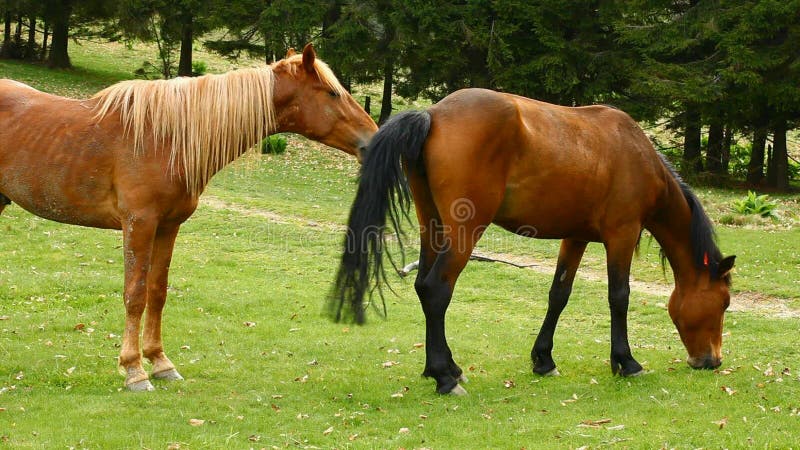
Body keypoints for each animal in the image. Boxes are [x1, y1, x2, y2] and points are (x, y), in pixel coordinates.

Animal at [0, 44, 377, 391]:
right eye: (332, 93)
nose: (372, 139)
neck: (165, 138)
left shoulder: (168, 227)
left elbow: (157, 292)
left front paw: (160, 363)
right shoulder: (139, 224)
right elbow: (135, 294)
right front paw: (134, 370)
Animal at [329, 88, 735, 395]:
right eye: (724, 303)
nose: (711, 361)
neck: (635, 154)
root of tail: (433, 114)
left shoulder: (575, 238)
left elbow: (559, 295)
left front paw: (544, 359)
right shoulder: (622, 234)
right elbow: (619, 297)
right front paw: (626, 362)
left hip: (433, 226)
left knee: (421, 285)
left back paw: (444, 369)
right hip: (465, 231)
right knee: (435, 289)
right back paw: (445, 376)